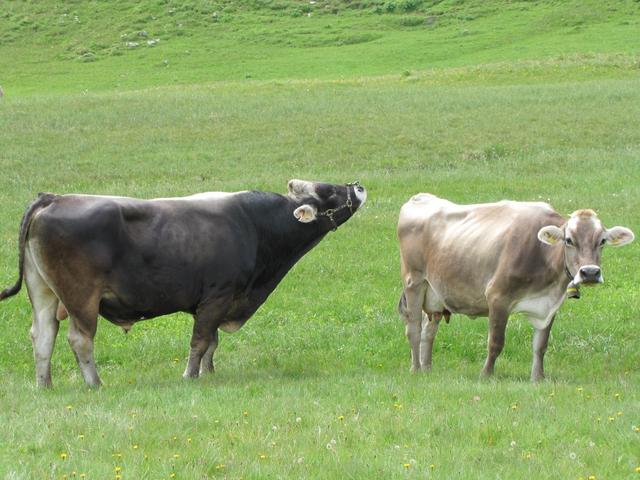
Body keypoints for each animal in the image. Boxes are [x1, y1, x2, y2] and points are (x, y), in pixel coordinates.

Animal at [0, 179, 367, 387]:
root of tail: (54, 197)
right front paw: (190, 376)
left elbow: (211, 343)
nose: (358, 185)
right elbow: (200, 341)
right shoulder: (217, 296)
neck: (254, 225)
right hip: (81, 298)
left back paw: (44, 384)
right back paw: (94, 383)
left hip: (43, 293)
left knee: (42, 336)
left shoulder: (214, 302)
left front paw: (209, 374)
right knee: (80, 339)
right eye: (329, 191)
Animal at [397, 194, 634, 381]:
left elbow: (540, 345)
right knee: (414, 329)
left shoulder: (549, 306)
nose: (590, 272)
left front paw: (538, 377)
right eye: (569, 240)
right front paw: (486, 375)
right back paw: (416, 369)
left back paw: (427, 369)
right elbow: (495, 342)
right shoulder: (497, 296)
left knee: (429, 331)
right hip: (414, 281)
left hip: (435, 294)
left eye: (602, 241)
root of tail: (420, 197)